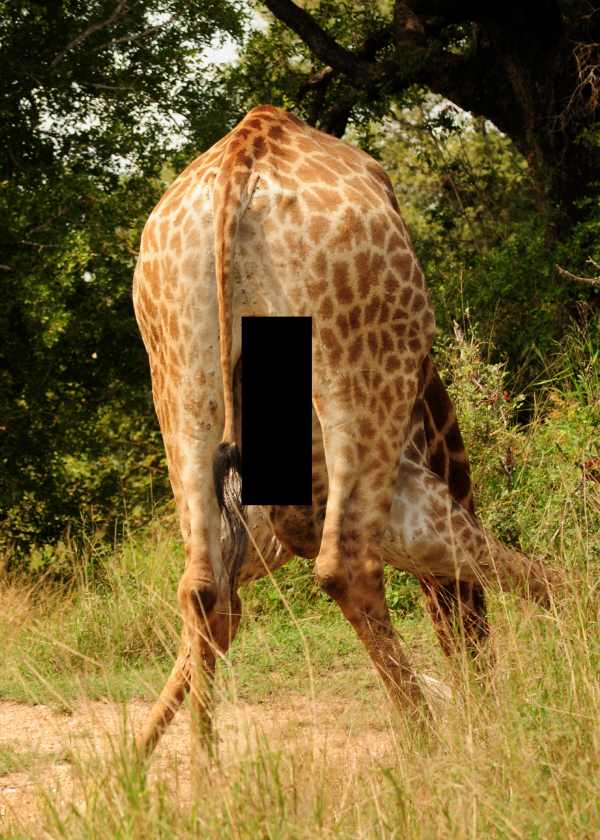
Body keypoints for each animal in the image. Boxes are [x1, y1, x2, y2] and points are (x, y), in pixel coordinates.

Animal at [133, 105, 552, 758]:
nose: (482, 694)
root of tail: (239, 166)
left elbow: (215, 612)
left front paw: (125, 770)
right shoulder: (415, 488)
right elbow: (548, 575)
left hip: (179, 377)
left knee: (200, 588)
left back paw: (206, 772)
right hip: (358, 375)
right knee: (343, 569)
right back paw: (426, 748)